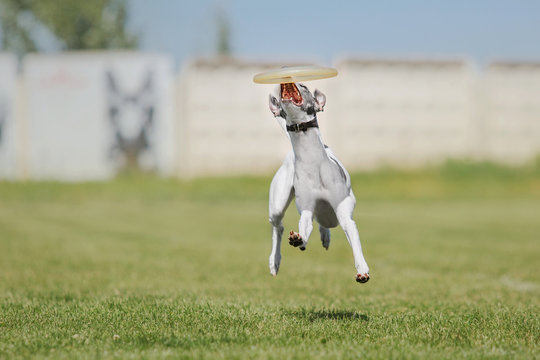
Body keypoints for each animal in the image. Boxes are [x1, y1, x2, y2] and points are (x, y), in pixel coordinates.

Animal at [266, 82, 370, 284]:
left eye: (304, 85)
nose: (285, 81)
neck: (312, 163)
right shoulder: (306, 208)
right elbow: (304, 226)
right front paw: (298, 239)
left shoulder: (344, 212)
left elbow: (353, 238)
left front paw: (362, 270)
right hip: (277, 205)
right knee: (279, 226)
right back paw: (276, 260)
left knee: (323, 223)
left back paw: (324, 236)